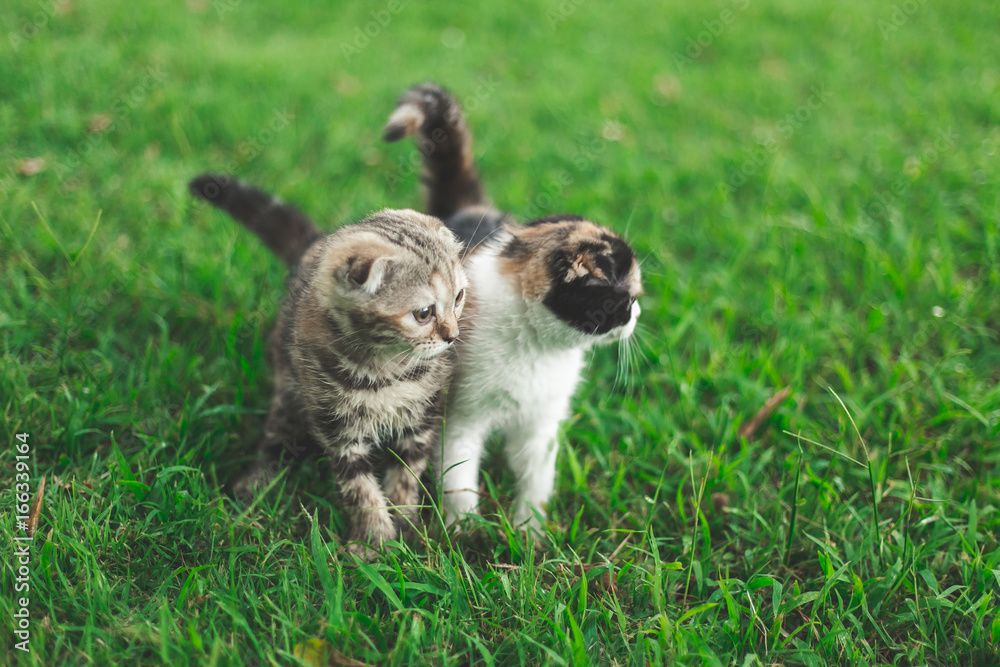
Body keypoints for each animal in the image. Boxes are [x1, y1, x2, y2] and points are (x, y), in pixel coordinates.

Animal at [189, 174, 466, 560]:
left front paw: (406, 525)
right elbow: (358, 488)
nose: (453, 336)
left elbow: (407, 473)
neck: (386, 369)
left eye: (458, 298)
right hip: (290, 384)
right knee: (277, 432)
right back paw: (257, 481)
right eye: (423, 313)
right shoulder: (336, 426)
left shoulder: (421, 418)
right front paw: (374, 541)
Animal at [382, 85, 640, 532]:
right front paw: (465, 530)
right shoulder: (459, 417)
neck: (538, 349)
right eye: (625, 301)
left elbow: (536, 476)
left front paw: (530, 531)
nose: (637, 315)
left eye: (636, 297)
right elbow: (459, 475)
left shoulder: (541, 424)